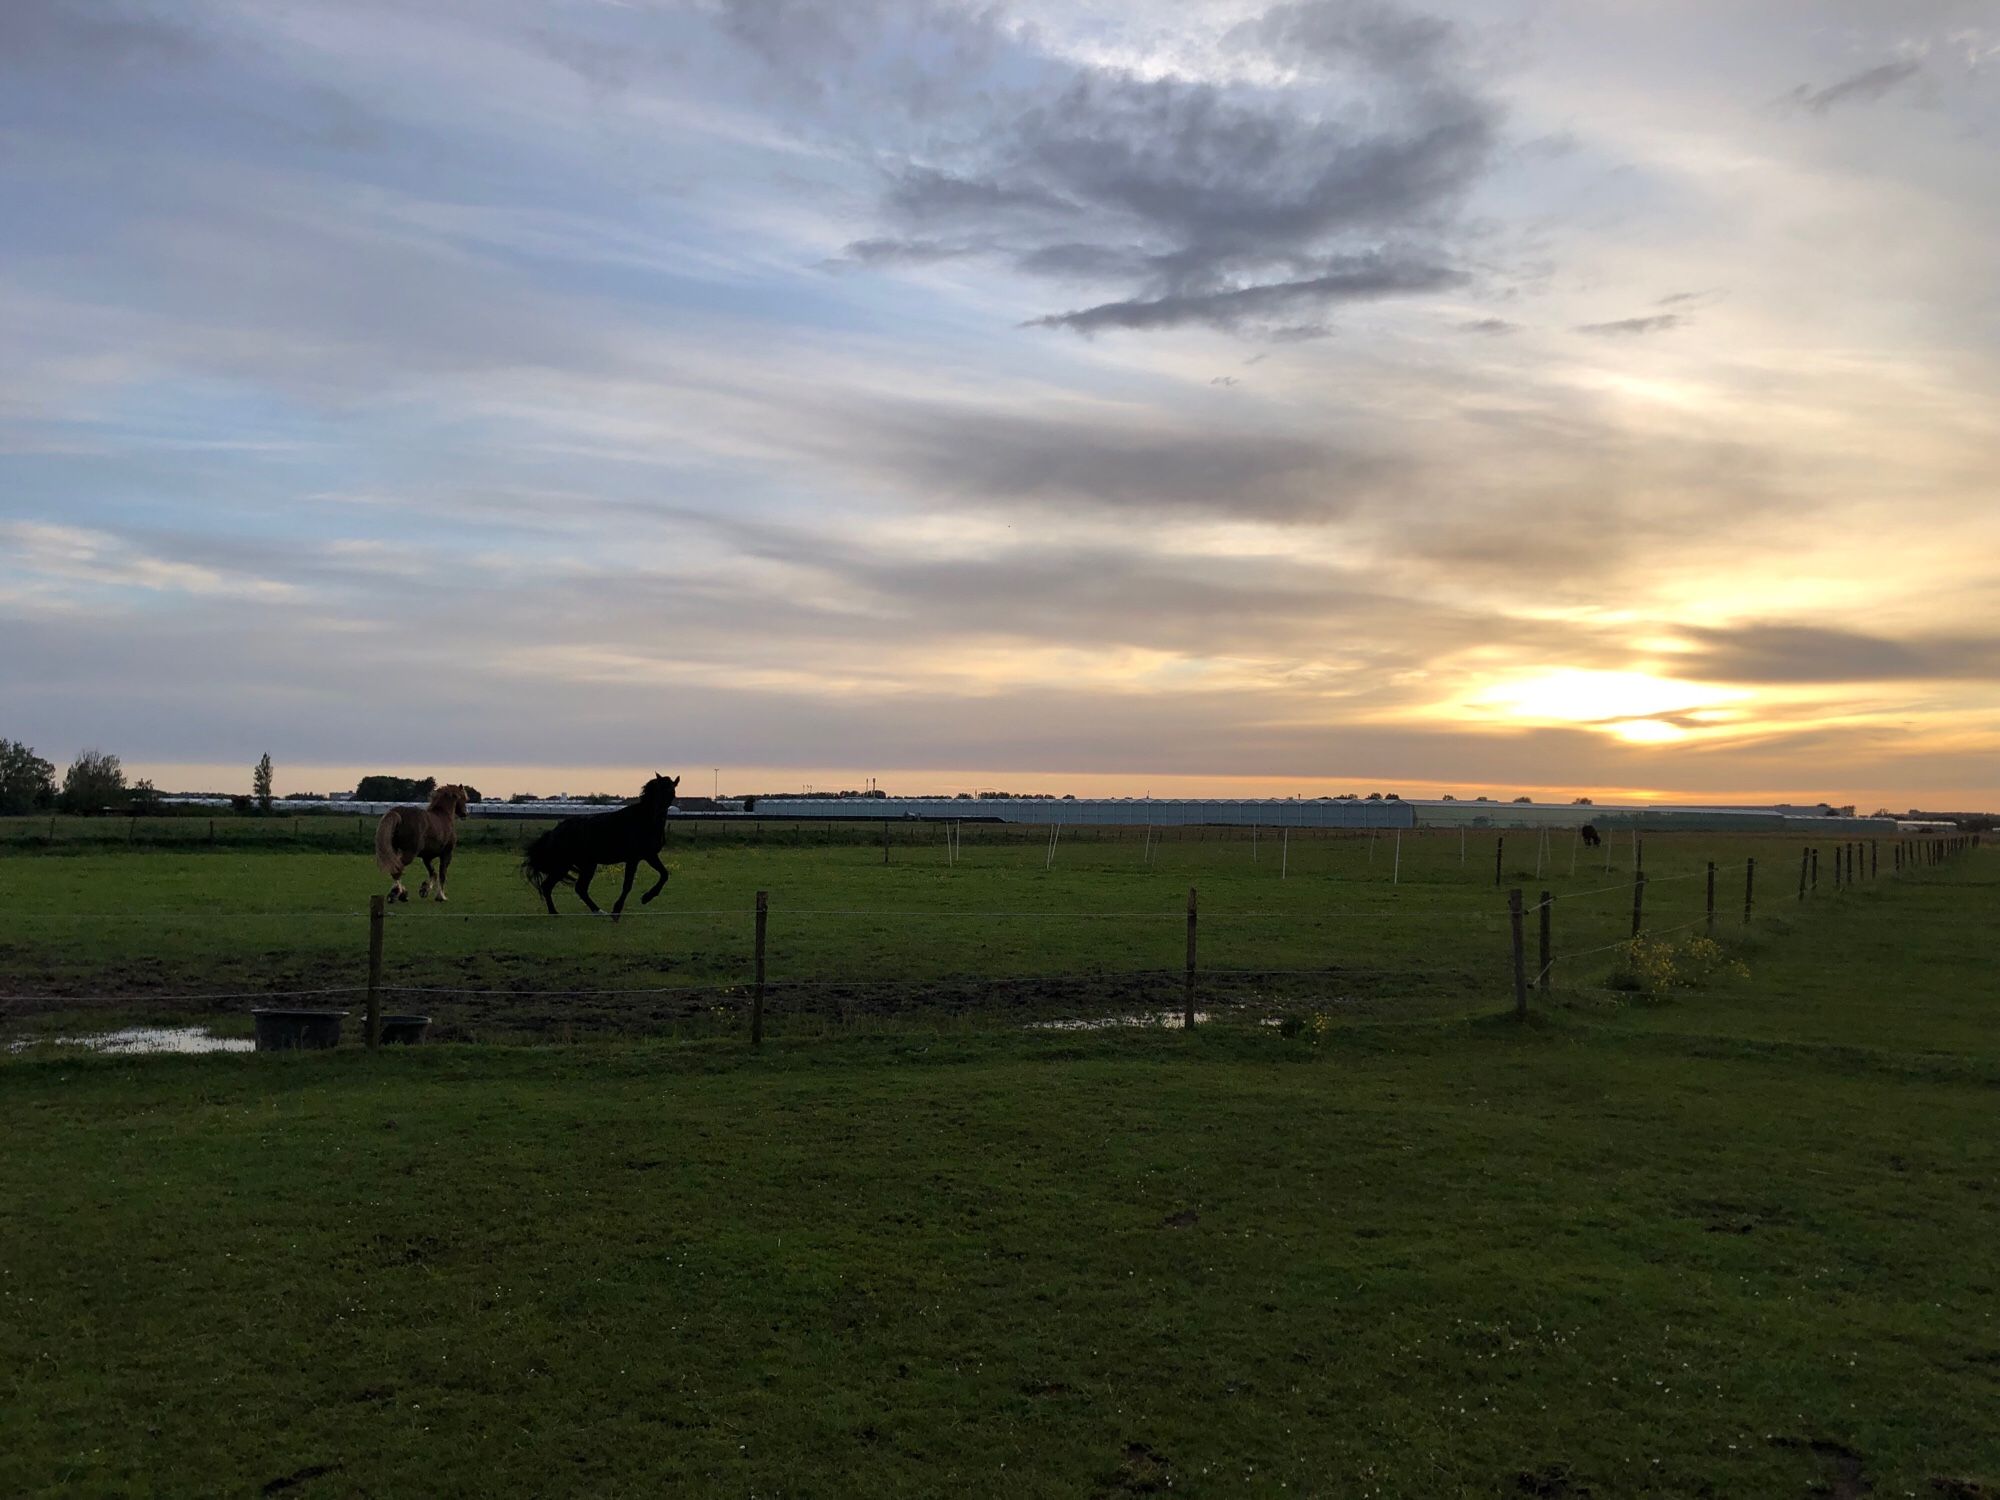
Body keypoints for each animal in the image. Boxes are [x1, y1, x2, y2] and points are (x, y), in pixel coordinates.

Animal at [524, 776, 680, 916]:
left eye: (671, 792)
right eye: (657, 791)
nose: (658, 813)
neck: (643, 821)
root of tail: (554, 832)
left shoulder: (649, 856)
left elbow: (664, 874)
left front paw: (646, 898)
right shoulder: (633, 859)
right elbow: (627, 885)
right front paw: (617, 910)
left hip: (584, 865)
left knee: (576, 888)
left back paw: (594, 911)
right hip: (564, 865)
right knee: (551, 886)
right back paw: (556, 913)